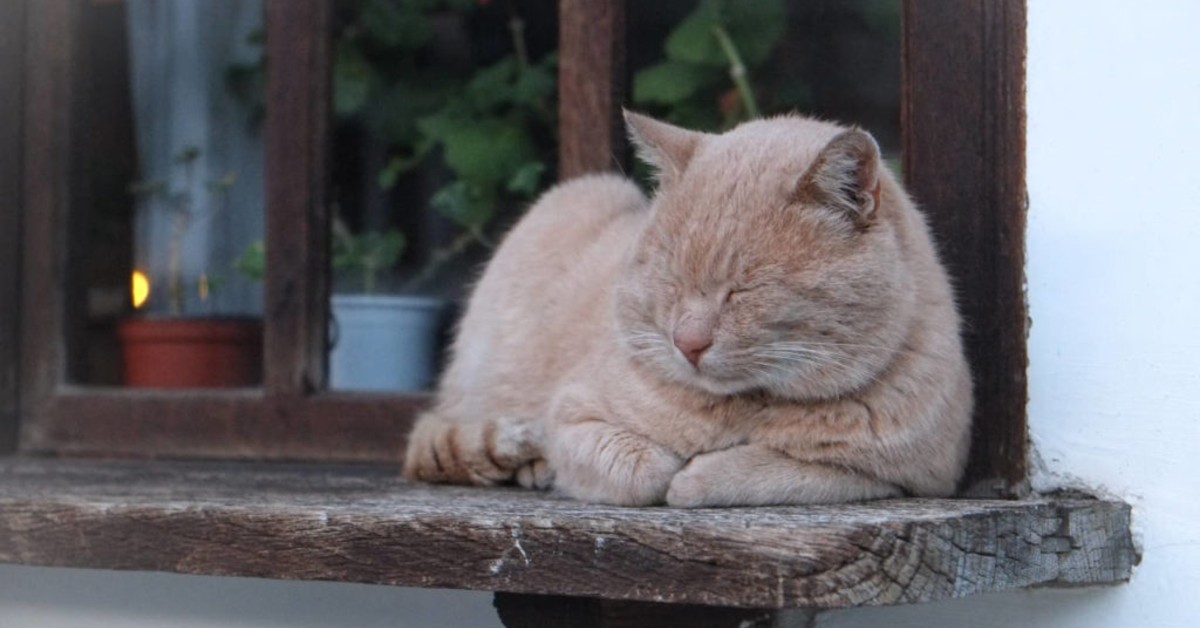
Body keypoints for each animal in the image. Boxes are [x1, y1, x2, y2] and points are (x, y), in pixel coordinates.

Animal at [405, 111, 974, 506]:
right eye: (672, 281)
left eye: (744, 289)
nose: (688, 343)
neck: (748, 405)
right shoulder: (572, 417)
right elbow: (641, 467)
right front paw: (665, 469)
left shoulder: (910, 479)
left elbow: (774, 472)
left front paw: (701, 473)